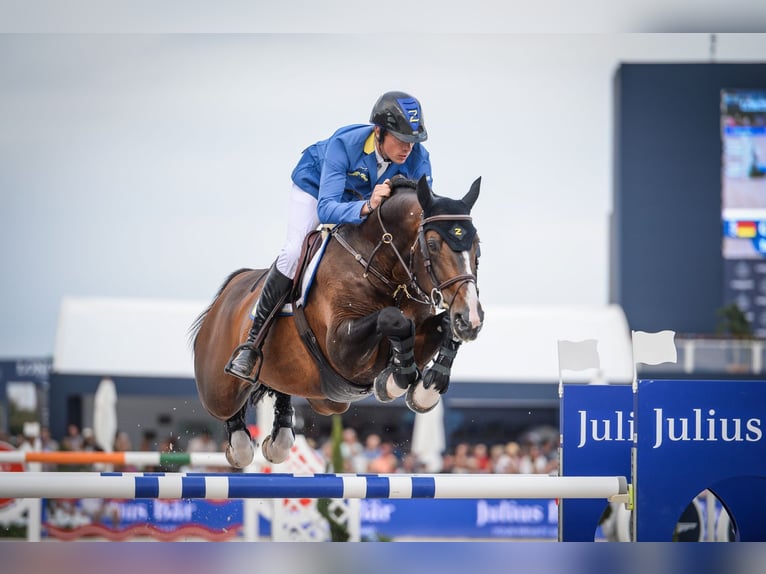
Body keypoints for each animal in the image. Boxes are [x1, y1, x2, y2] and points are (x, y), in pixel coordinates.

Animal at [189, 178, 484, 470]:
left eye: (477, 246)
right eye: (433, 245)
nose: (470, 318)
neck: (382, 268)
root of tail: (230, 290)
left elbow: (441, 325)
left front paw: (426, 388)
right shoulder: (342, 349)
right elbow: (393, 319)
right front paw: (394, 380)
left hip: (326, 401)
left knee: (284, 392)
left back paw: (279, 438)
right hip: (218, 389)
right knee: (228, 411)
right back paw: (240, 438)